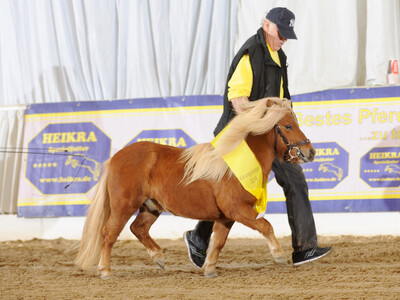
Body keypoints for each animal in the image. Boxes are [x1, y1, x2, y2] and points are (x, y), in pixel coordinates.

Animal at [73, 97, 314, 278]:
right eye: (288, 126)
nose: (310, 152)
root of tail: (115, 158)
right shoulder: (237, 209)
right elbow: (266, 226)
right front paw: (279, 255)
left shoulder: (226, 217)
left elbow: (218, 242)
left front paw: (209, 269)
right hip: (124, 205)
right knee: (108, 233)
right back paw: (106, 271)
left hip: (151, 206)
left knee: (138, 228)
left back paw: (159, 258)